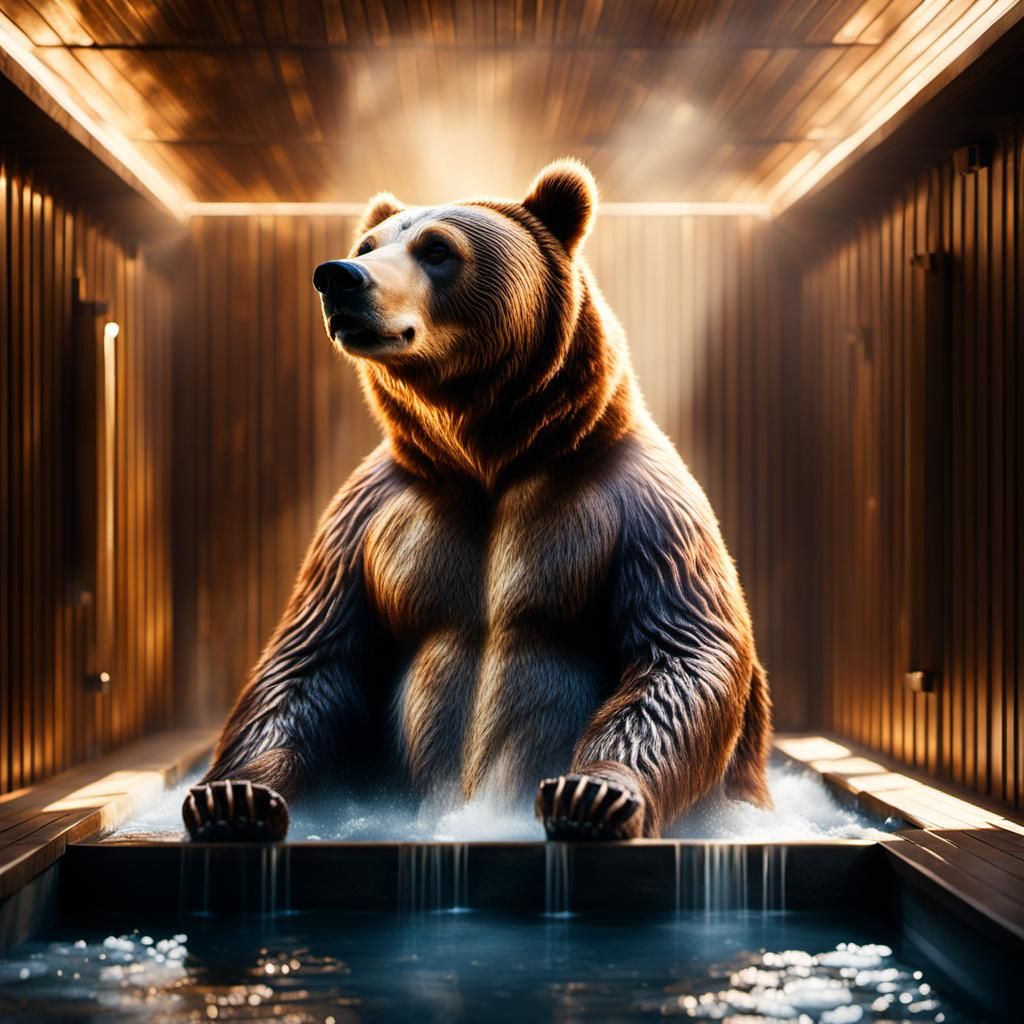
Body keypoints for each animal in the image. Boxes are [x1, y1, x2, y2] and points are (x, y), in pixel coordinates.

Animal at [182, 159, 772, 843]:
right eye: (368, 245)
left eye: (436, 249)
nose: (339, 277)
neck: (487, 456)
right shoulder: (365, 519)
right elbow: (310, 657)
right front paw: (232, 798)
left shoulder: (642, 508)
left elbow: (680, 650)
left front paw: (594, 794)